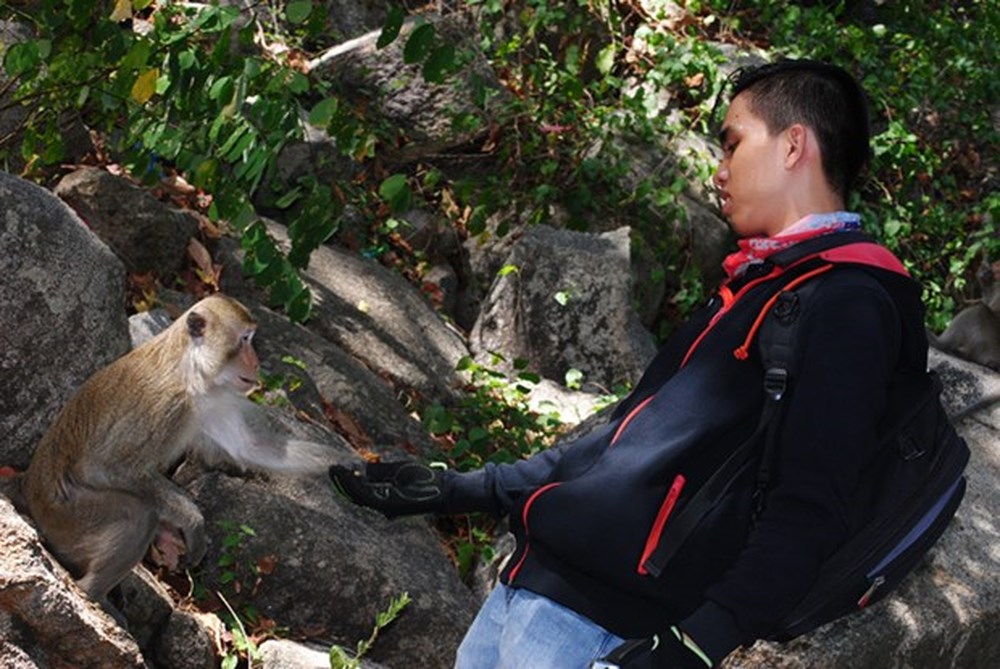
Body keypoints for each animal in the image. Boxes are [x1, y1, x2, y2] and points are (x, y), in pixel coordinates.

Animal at [20, 294, 332, 620]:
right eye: (245, 339)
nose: (256, 362)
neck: (189, 367)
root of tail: (28, 491)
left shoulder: (209, 403)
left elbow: (248, 449)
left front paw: (342, 462)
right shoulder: (169, 404)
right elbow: (103, 466)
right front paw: (194, 521)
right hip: (66, 516)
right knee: (138, 514)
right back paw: (92, 593)